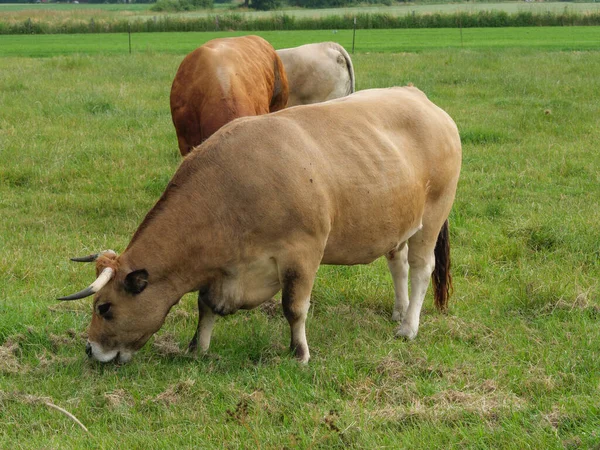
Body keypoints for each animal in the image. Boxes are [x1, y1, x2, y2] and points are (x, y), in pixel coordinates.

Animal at [58, 86, 462, 364]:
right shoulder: (224, 270)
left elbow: (294, 307)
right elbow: (205, 304)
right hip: (400, 218)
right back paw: (399, 309)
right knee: (398, 262)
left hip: (434, 213)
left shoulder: (302, 252)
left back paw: (408, 326)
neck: (231, 190)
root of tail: (418, 96)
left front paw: (300, 353)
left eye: (104, 308)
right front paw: (197, 348)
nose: (90, 350)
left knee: (420, 267)